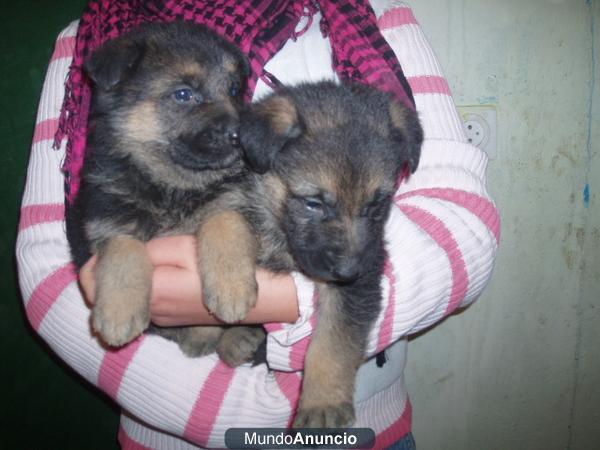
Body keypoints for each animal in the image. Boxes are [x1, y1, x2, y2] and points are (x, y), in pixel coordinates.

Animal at [67, 22, 266, 358]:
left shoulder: (233, 200)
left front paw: (231, 287)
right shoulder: (106, 219)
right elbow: (123, 247)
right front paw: (118, 311)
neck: (173, 185)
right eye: (184, 94)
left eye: (234, 90)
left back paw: (236, 338)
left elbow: (223, 220)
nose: (242, 136)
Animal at [209, 80, 424, 426]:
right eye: (313, 203)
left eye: (377, 204)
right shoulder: (234, 199)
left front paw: (322, 404)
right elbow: (224, 222)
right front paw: (230, 293)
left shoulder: (360, 284)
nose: (349, 273)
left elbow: (333, 344)